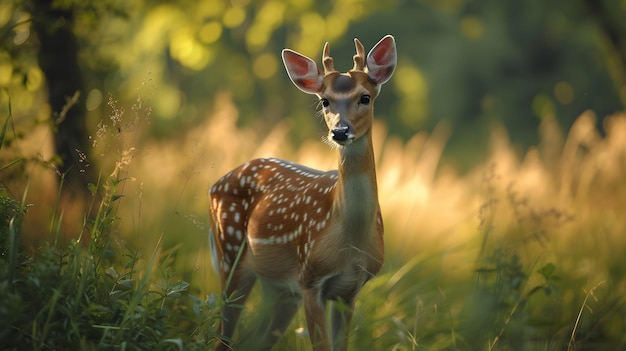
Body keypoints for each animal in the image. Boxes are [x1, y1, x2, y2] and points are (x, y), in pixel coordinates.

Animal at [208, 33, 394, 351]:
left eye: (365, 97)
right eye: (325, 101)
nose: (340, 132)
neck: (349, 242)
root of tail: (214, 184)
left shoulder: (349, 290)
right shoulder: (310, 278)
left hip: (279, 288)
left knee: (254, 340)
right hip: (229, 252)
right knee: (224, 336)